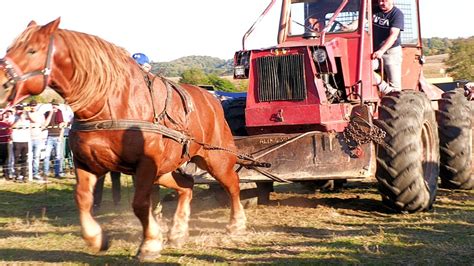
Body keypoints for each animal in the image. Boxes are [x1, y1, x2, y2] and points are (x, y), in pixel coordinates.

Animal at [0, 18, 244, 260]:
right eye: (9, 49)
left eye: (32, 50)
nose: (2, 82)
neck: (108, 106)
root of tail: (212, 99)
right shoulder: (86, 163)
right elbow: (83, 198)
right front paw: (96, 237)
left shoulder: (145, 166)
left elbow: (140, 204)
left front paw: (149, 244)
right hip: (165, 169)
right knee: (187, 185)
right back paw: (178, 231)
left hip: (216, 159)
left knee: (232, 184)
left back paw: (236, 224)